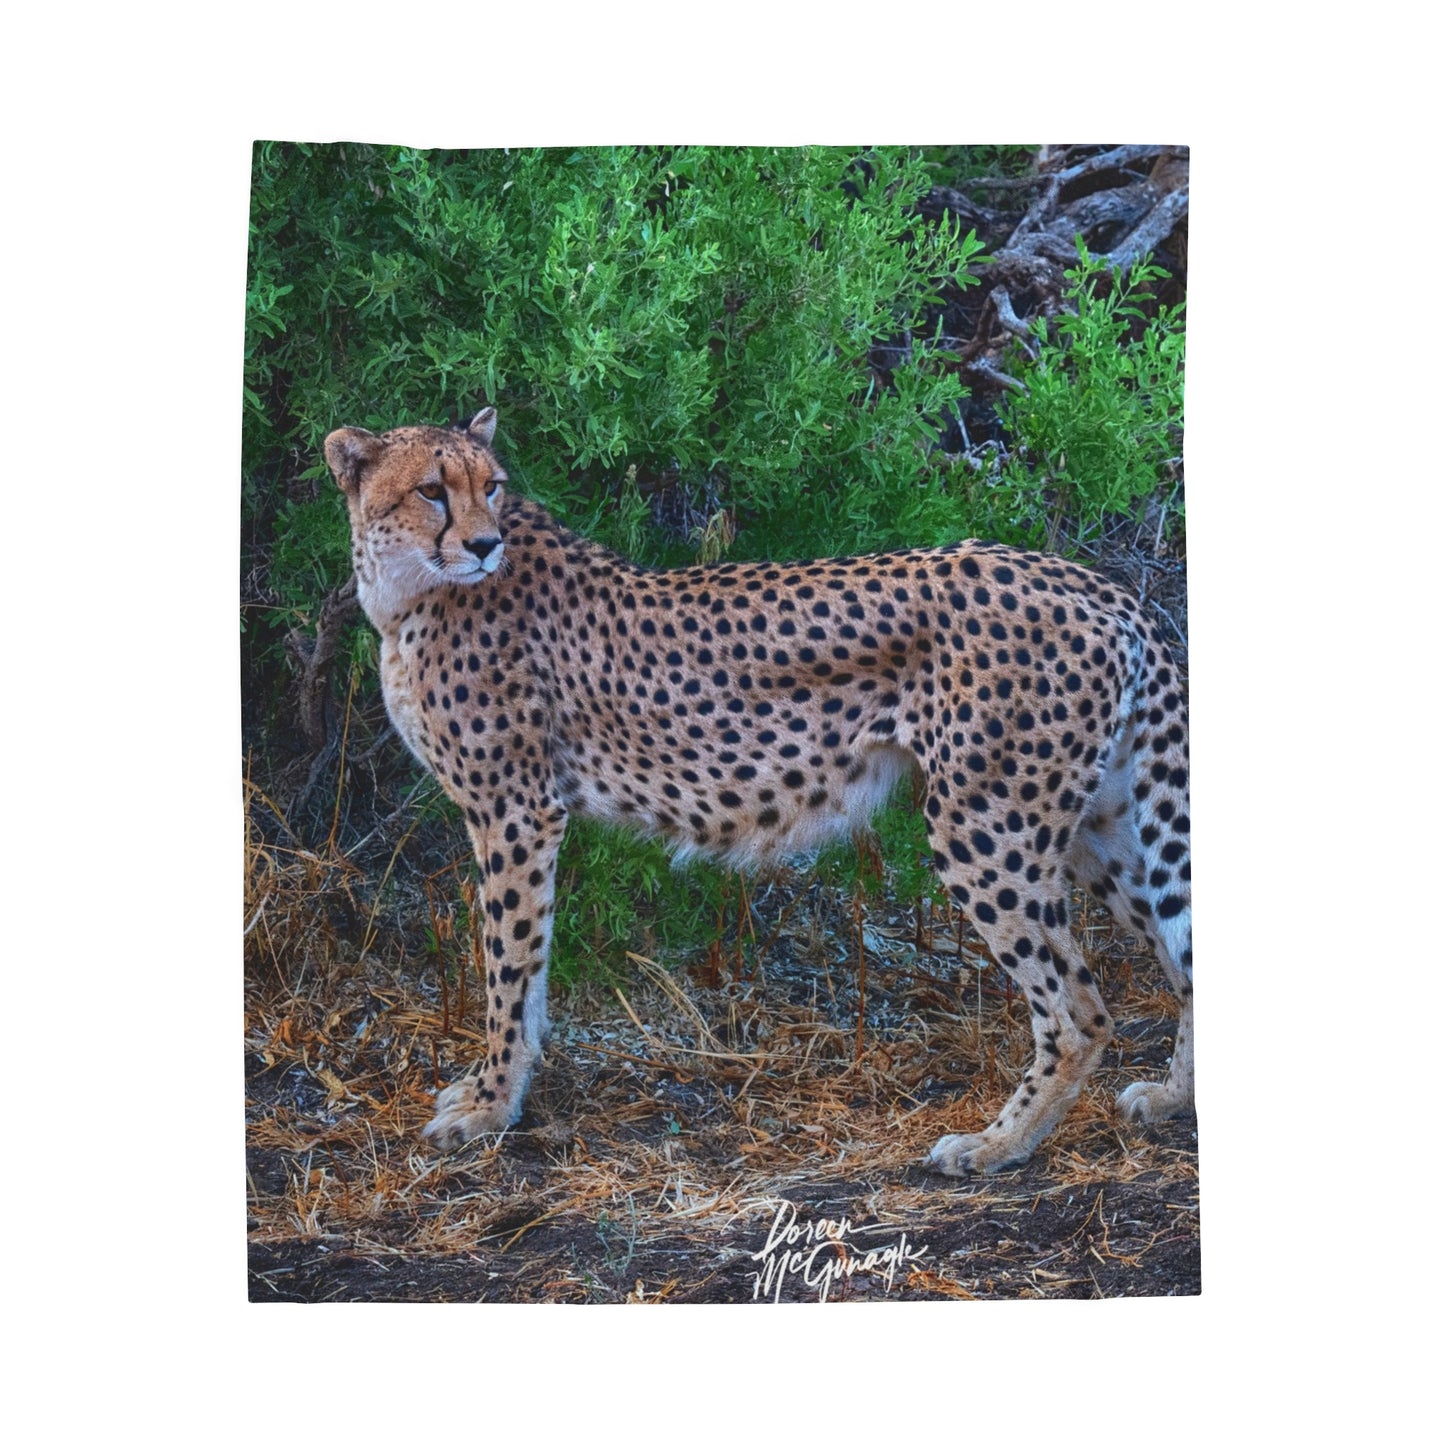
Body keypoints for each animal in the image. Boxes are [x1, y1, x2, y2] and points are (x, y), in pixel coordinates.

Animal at [324, 407, 1194, 1175]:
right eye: (431, 489)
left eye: (491, 485)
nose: (483, 543)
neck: (409, 588)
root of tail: (1089, 581)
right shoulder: (523, 814)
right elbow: (528, 968)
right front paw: (499, 1089)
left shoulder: (514, 810)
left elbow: (507, 963)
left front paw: (490, 1106)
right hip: (1095, 825)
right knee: (1183, 950)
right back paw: (1170, 1100)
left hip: (987, 826)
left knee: (1078, 1011)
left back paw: (995, 1146)